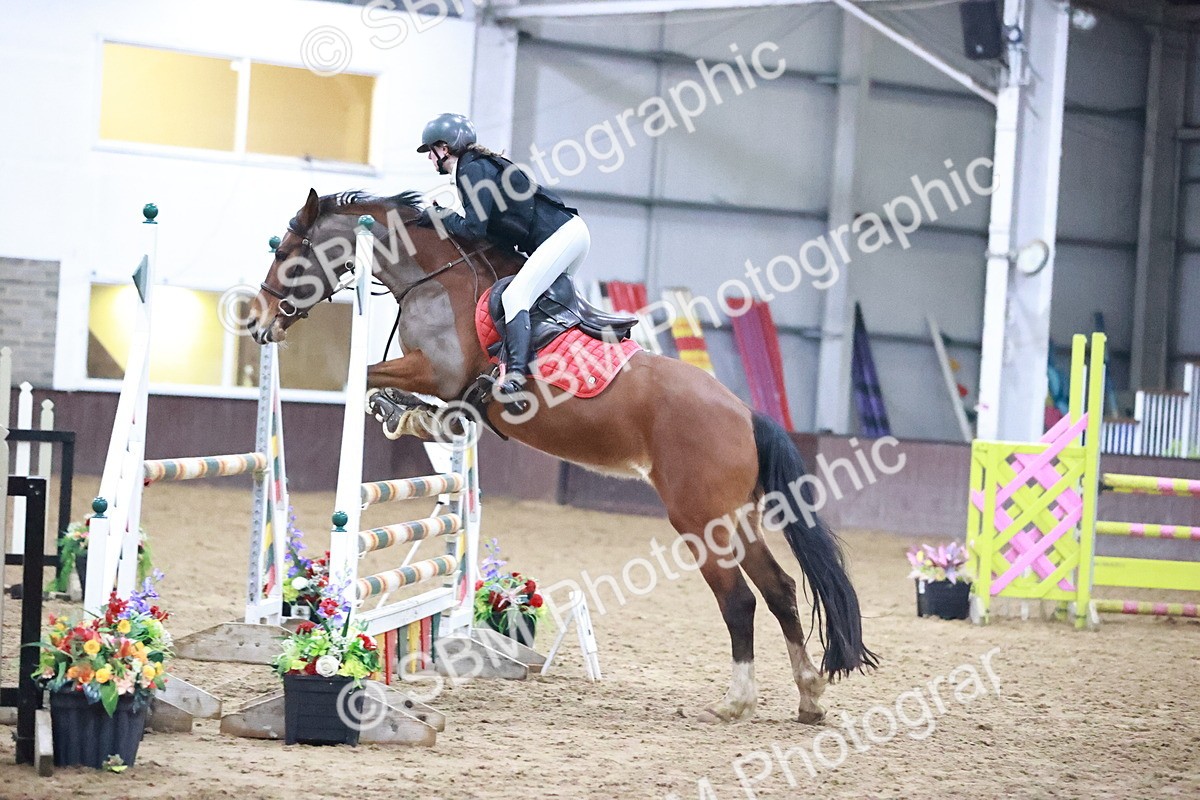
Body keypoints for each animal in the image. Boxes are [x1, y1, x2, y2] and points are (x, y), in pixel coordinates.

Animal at [249, 188, 877, 723]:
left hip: (700, 518)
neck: (436, 277)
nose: (258, 322)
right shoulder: (442, 382)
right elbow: (402, 396)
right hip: (736, 517)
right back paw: (809, 697)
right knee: (780, 591)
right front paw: (412, 416)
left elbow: (365, 376)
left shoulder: (438, 371)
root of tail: (745, 414)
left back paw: (736, 703)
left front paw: (393, 408)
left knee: (740, 600)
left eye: (284, 252)